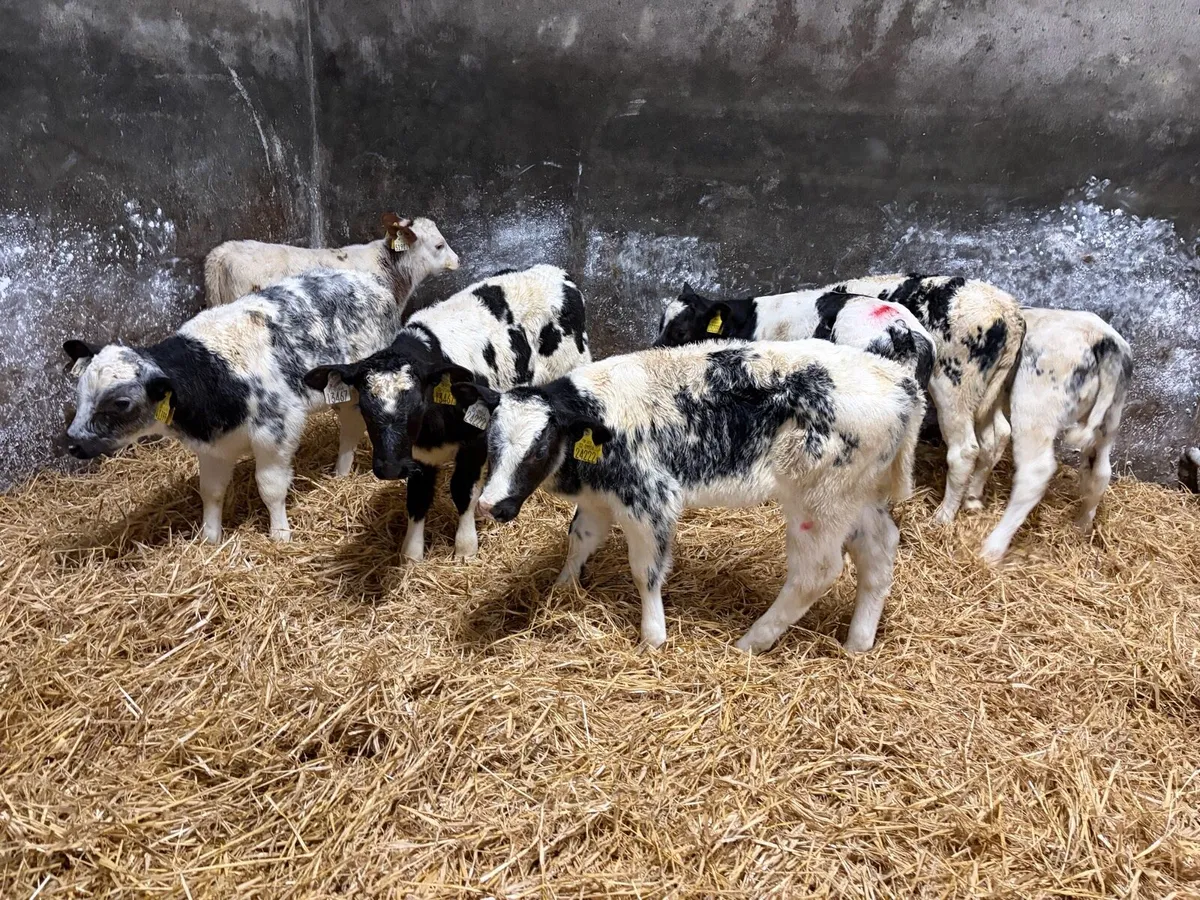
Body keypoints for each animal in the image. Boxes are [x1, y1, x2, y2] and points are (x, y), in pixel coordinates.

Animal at [63, 268, 409, 543]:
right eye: (79, 391)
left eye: (121, 402)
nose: (74, 443)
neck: (211, 370)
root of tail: (365, 278)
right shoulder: (212, 446)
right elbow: (211, 491)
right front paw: (210, 538)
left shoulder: (276, 431)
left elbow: (270, 487)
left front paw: (280, 534)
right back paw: (340, 473)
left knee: (352, 424)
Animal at [303, 264, 590, 561]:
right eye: (364, 408)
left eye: (418, 404)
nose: (391, 468)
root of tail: (554, 271)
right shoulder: (418, 455)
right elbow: (418, 498)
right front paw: (412, 555)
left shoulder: (475, 441)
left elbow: (462, 491)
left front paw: (465, 547)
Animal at [453, 340, 924, 653]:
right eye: (491, 442)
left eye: (540, 446)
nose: (491, 505)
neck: (596, 418)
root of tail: (901, 381)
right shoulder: (600, 497)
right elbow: (580, 540)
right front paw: (562, 589)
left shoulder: (649, 499)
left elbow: (645, 571)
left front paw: (652, 637)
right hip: (858, 497)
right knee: (879, 550)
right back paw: (857, 644)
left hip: (818, 503)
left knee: (816, 573)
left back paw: (750, 641)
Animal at [825, 274, 1026, 525]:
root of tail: (1008, 311)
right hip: (992, 390)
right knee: (998, 434)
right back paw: (972, 499)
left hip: (954, 383)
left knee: (965, 450)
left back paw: (943, 516)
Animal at [979, 308, 1133, 563]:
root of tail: (1104, 339)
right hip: (1110, 418)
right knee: (1101, 471)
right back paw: (1082, 526)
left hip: (1035, 407)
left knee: (1035, 472)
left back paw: (992, 548)